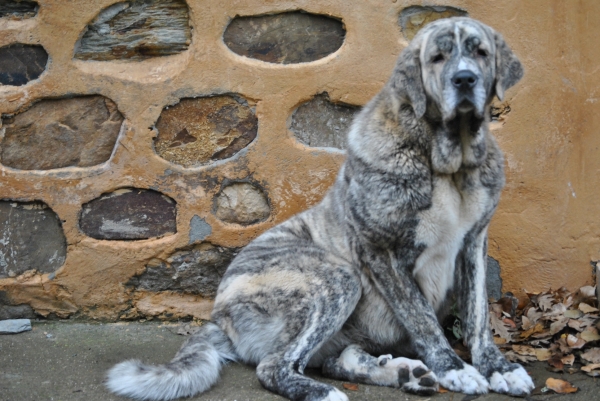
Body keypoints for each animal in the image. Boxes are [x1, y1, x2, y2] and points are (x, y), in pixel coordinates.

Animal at [105, 17, 532, 398]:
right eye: (438, 58)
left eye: (480, 53)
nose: (465, 80)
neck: (446, 162)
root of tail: (218, 316)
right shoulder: (382, 251)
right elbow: (422, 316)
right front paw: (453, 368)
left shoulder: (473, 243)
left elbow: (478, 316)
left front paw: (498, 368)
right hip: (338, 277)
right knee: (274, 366)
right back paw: (327, 391)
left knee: (335, 359)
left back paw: (403, 373)